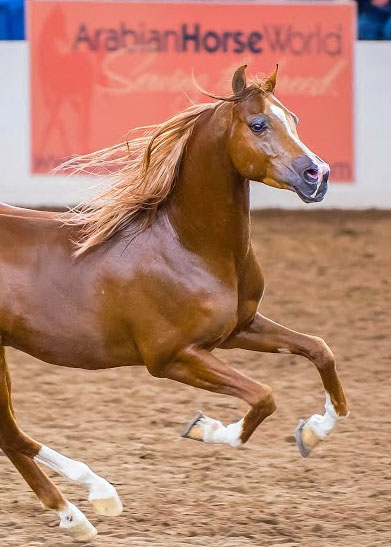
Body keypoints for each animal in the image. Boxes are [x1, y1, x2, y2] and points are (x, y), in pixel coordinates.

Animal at [0, 66, 350, 540]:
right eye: (259, 124)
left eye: (294, 118)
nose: (319, 174)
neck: (187, 245)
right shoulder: (172, 358)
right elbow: (264, 396)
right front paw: (206, 429)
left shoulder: (239, 329)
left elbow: (320, 350)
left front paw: (314, 431)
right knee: (12, 435)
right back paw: (97, 494)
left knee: (10, 435)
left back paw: (75, 516)